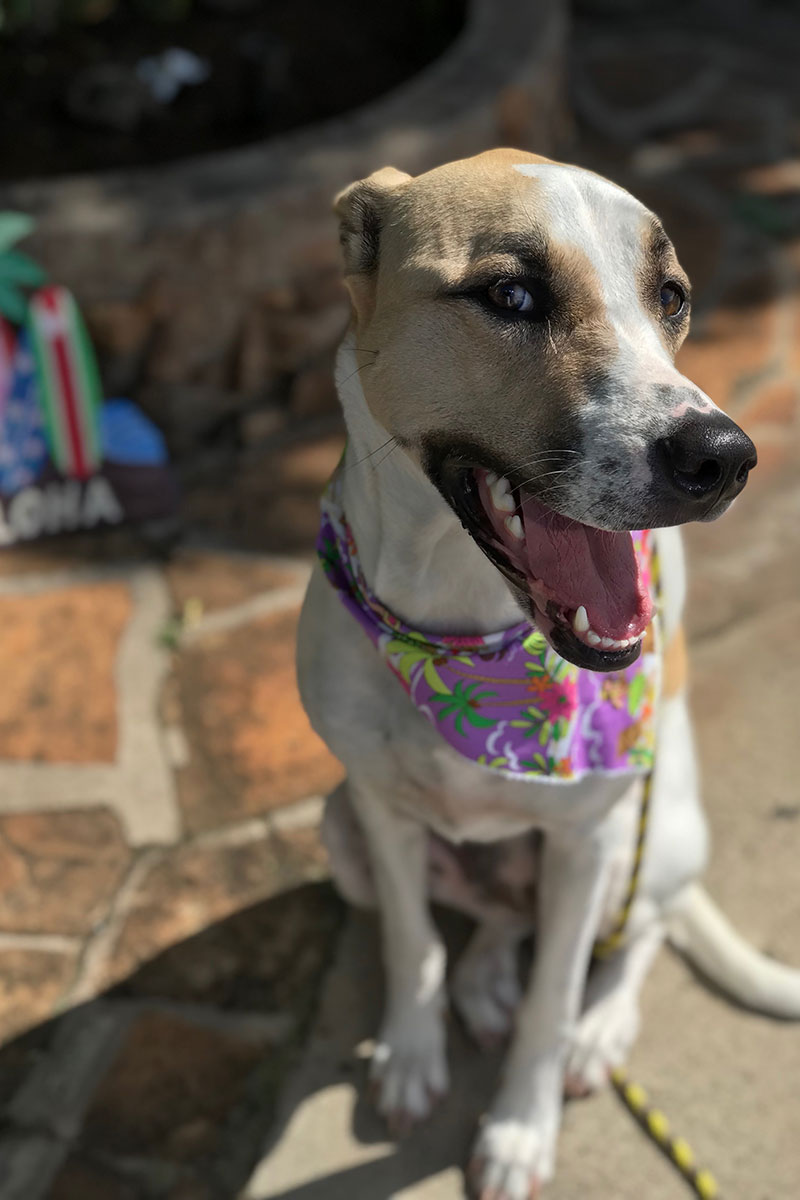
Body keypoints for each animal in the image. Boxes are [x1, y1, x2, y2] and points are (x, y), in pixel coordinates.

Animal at [296, 150, 800, 1200]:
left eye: (671, 297)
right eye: (511, 294)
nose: (724, 456)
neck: (467, 642)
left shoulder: (585, 840)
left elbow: (554, 998)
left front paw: (521, 1127)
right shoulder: (381, 812)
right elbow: (410, 943)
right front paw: (412, 1053)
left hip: (652, 839)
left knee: (639, 933)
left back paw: (599, 1029)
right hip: (340, 828)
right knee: (492, 919)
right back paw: (485, 976)